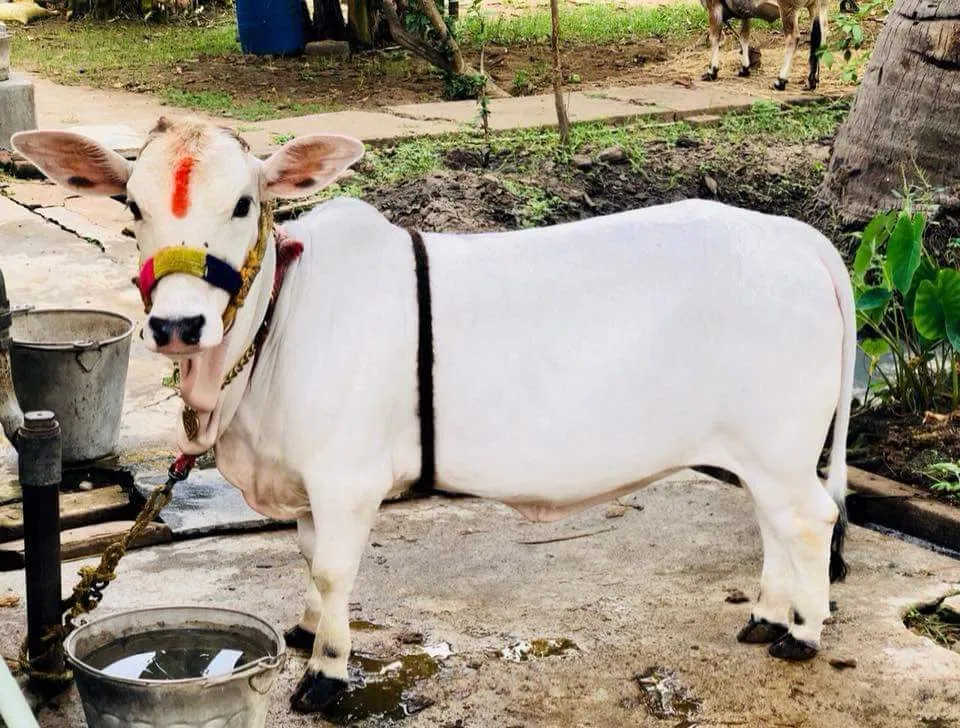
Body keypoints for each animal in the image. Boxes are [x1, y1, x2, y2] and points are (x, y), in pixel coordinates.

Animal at [11, 118, 854, 714]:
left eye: (244, 204)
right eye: (132, 205)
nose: (178, 324)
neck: (273, 331)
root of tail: (794, 235)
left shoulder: (346, 477)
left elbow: (332, 568)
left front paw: (325, 674)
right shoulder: (309, 484)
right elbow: (311, 567)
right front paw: (309, 631)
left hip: (779, 441)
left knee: (809, 519)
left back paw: (802, 632)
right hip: (758, 445)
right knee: (774, 521)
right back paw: (767, 614)